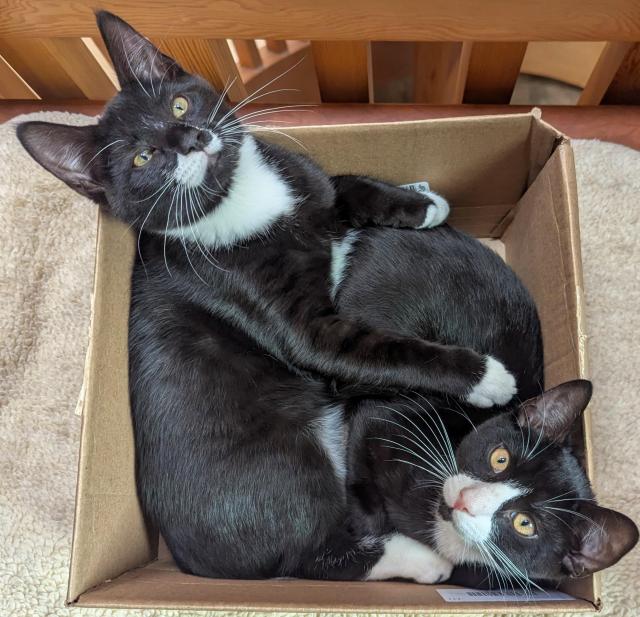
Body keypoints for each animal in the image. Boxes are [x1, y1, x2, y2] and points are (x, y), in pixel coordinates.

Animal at [17, 10, 636, 588]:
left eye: (178, 104)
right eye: (143, 159)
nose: (190, 138)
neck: (242, 200)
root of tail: (193, 563)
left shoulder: (306, 182)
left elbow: (340, 184)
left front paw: (420, 204)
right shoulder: (298, 326)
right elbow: (377, 349)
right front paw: (487, 377)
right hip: (290, 464)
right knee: (311, 555)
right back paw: (421, 559)